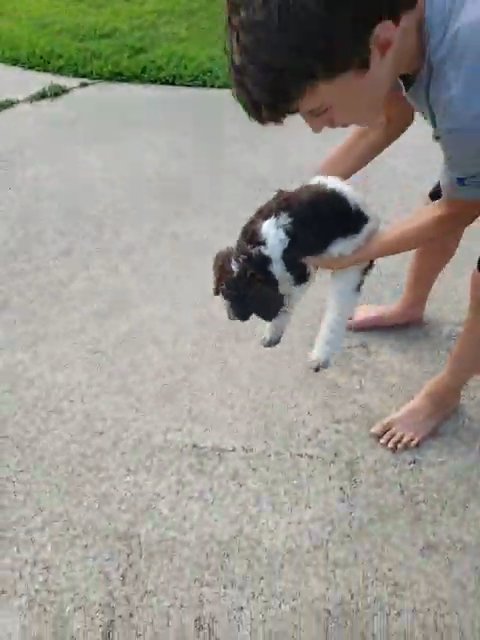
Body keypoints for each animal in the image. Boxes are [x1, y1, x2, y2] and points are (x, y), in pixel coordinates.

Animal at [213, 175, 378, 370]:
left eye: (243, 298)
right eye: (224, 293)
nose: (232, 317)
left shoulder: (300, 272)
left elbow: (286, 300)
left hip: (352, 259)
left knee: (338, 307)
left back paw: (320, 355)